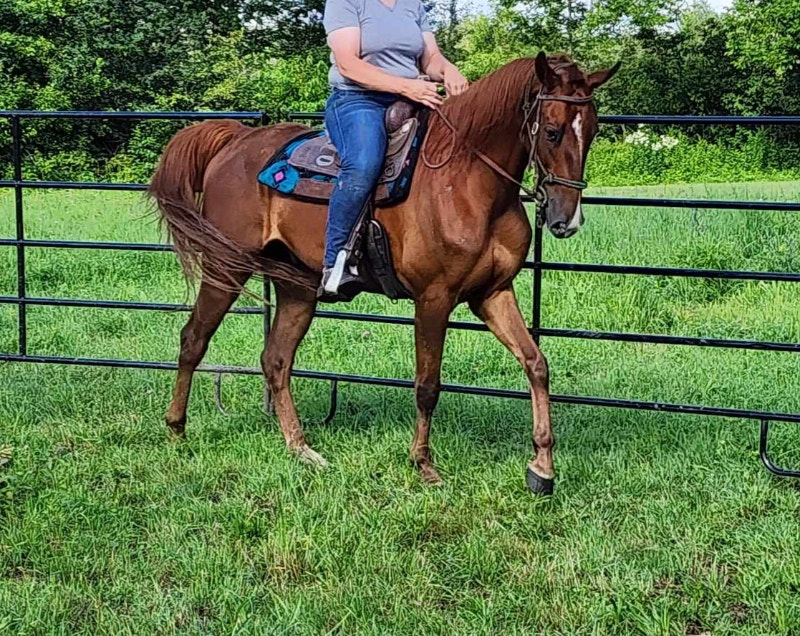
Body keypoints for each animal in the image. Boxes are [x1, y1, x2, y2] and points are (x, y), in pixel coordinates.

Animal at [148, 52, 620, 494]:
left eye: (594, 131)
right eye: (552, 131)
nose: (566, 220)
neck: (466, 180)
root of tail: (239, 139)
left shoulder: (493, 293)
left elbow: (536, 364)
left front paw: (542, 467)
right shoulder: (434, 298)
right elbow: (428, 384)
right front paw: (423, 464)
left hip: (297, 286)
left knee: (276, 359)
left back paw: (301, 449)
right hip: (226, 266)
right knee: (194, 339)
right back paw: (176, 430)